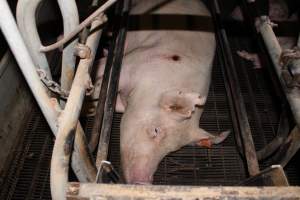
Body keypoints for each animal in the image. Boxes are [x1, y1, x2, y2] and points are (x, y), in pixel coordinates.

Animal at [95, 0, 231, 184]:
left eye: (171, 150)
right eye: (155, 130)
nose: (143, 182)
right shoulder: (133, 61)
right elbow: (104, 69)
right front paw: (93, 89)